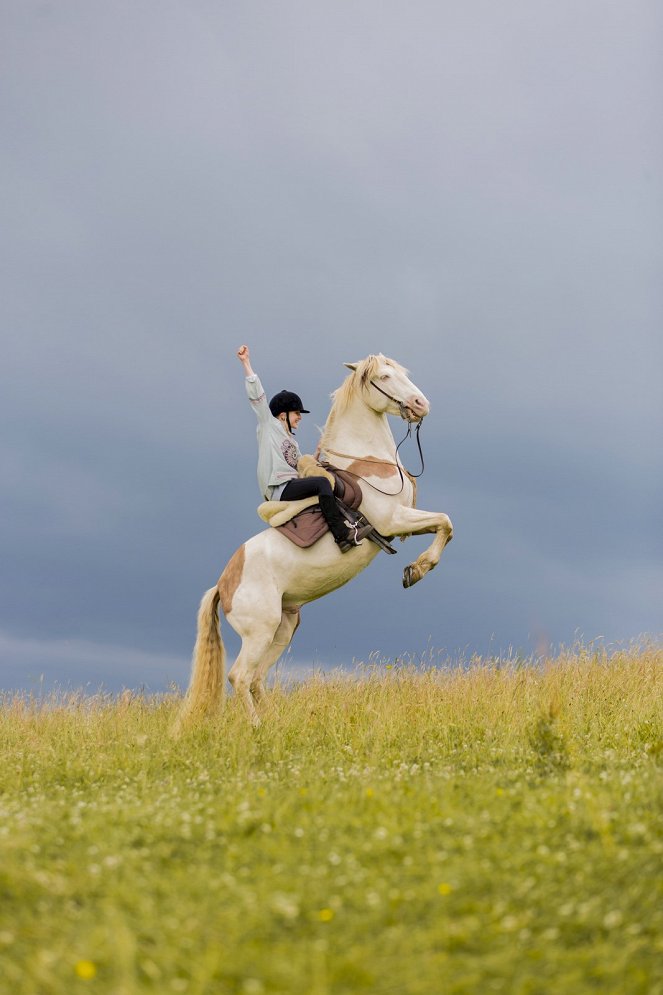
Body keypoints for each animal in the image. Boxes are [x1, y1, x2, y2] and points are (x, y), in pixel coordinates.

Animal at [174, 354, 454, 728]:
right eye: (384, 376)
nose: (421, 405)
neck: (367, 463)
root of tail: (223, 584)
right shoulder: (393, 520)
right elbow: (445, 522)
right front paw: (417, 570)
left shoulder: (403, 523)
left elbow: (444, 525)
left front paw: (416, 569)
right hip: (260, 631)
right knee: (240, 677)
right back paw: (258, 727)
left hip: (284, 626)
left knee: (258, 679)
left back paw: (278, 725)